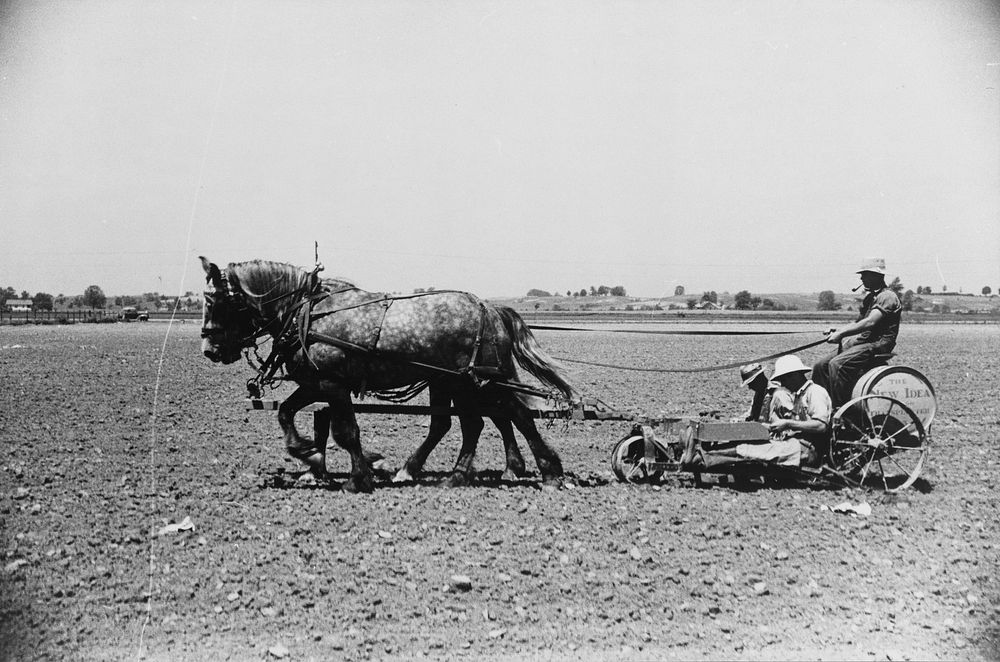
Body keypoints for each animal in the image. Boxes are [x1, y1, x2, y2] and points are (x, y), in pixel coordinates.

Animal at [199, 258, 576, 492]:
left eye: (216, 301)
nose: (209, 350)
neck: (307, 314)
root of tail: (490, 307)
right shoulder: (315, 384)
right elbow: (287, 413)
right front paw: (311, 454)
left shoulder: (333, 385)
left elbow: (346, 432)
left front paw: (358, 477)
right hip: (457, 382)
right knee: (471, 423)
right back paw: (452, 475)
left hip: (480, 381)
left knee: (513, 416)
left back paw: (548, 473)